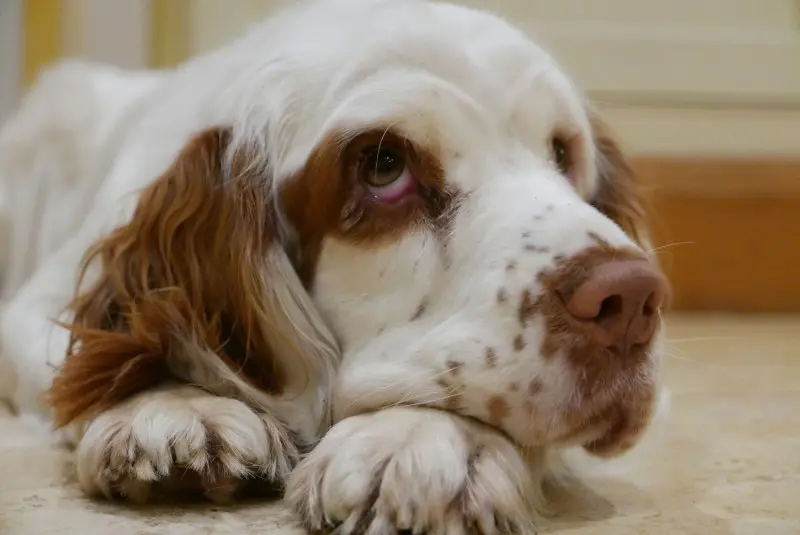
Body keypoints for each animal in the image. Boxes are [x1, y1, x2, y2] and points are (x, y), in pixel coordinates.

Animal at [0, 2, 664, 532]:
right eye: (383, 166)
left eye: (561, 152)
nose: (631, 299)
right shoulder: (34, 311)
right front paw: (172, 407)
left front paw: (422, 437)